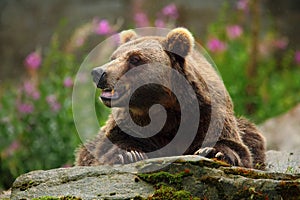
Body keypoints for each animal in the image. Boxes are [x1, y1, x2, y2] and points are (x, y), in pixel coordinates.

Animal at [75, 27, 264, 169]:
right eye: (113, 57)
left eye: (135, 58)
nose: (99, 72)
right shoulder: (130, 120)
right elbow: (109, 146)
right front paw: (129, 154)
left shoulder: (207, 112)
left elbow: (235, 145)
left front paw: (212, 151)